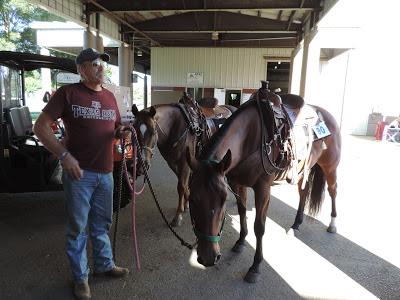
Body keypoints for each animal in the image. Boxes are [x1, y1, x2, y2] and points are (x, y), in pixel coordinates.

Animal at [187, 92, 340, 284]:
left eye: (223, 200)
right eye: (192, 199)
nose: (208, 257)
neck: (248, 138)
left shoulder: (263, 189)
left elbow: (259, 227)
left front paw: (255, 267)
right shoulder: (237, 184)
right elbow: (242, 211)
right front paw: (240, 241)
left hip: (330, 167)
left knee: (333, 191)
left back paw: (332, 224)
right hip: (301, 171)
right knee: (303, 193)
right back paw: (296, 225)